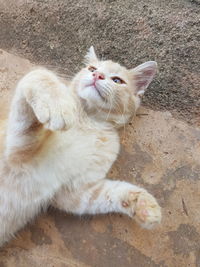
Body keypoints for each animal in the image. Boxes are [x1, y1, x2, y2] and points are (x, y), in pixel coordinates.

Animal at [0, 46, 161, 247]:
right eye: (92, 68)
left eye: (117, 80)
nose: (97, 75)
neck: (89, 121)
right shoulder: (16, 154)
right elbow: (38, 73)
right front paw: (58, 104)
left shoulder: (75, 192)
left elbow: (111, 192)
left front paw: (143, 204)